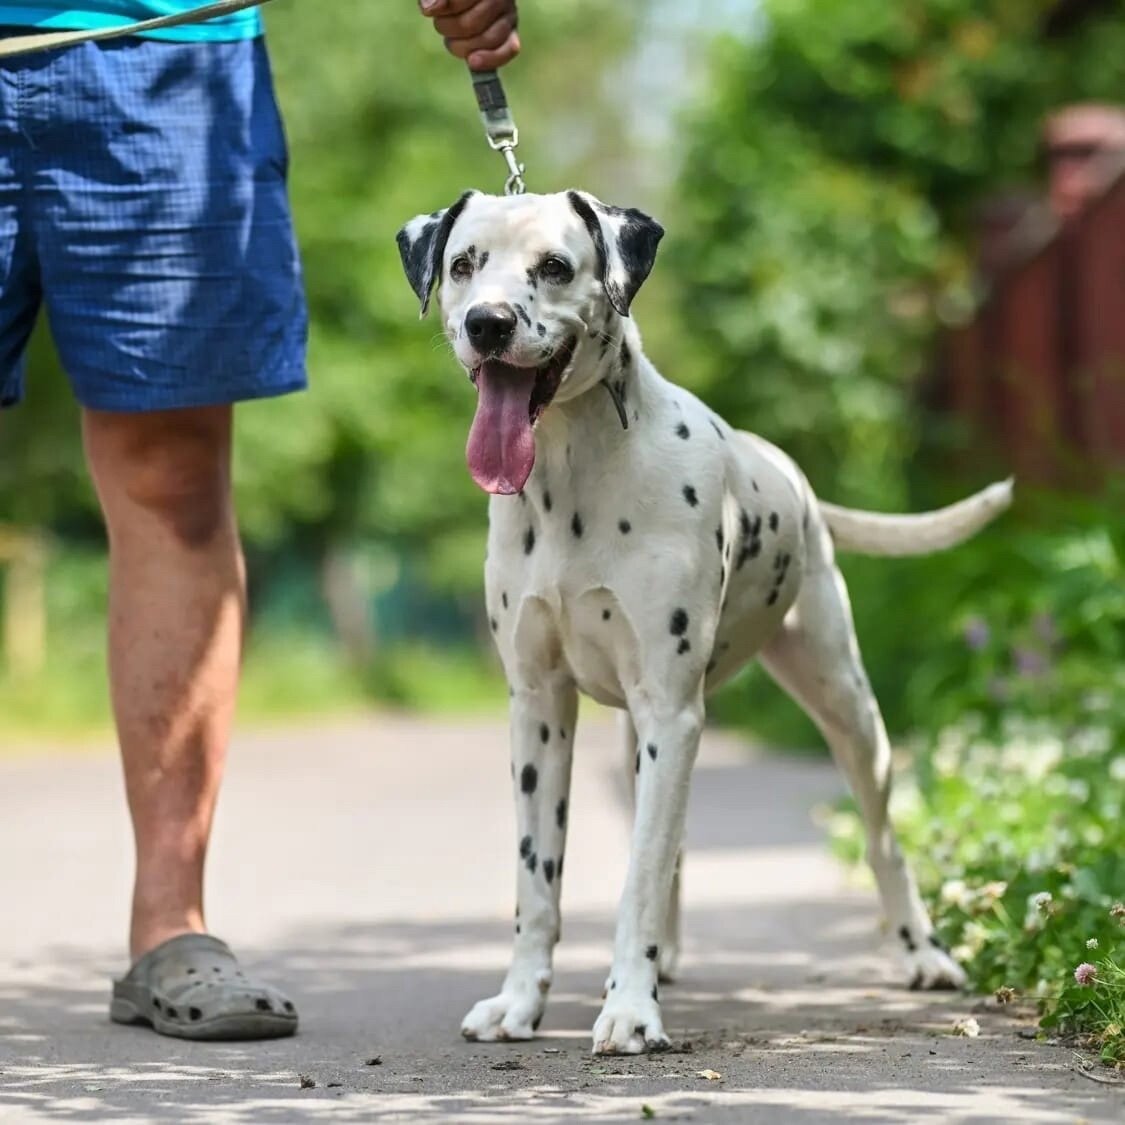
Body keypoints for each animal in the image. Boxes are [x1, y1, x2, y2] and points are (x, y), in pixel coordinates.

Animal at [393, 191, 1012, 1053]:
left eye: (553, 266)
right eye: (462, 265)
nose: (487, 322)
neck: (572, 470)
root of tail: (792, 476)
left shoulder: (670, 712)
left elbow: (640, 875)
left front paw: (629, 1006)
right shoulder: (539, 712)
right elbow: (537, 879)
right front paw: (520, 1001)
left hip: (848, 711)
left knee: (881, 837)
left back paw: (922, 953)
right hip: (644, 738)